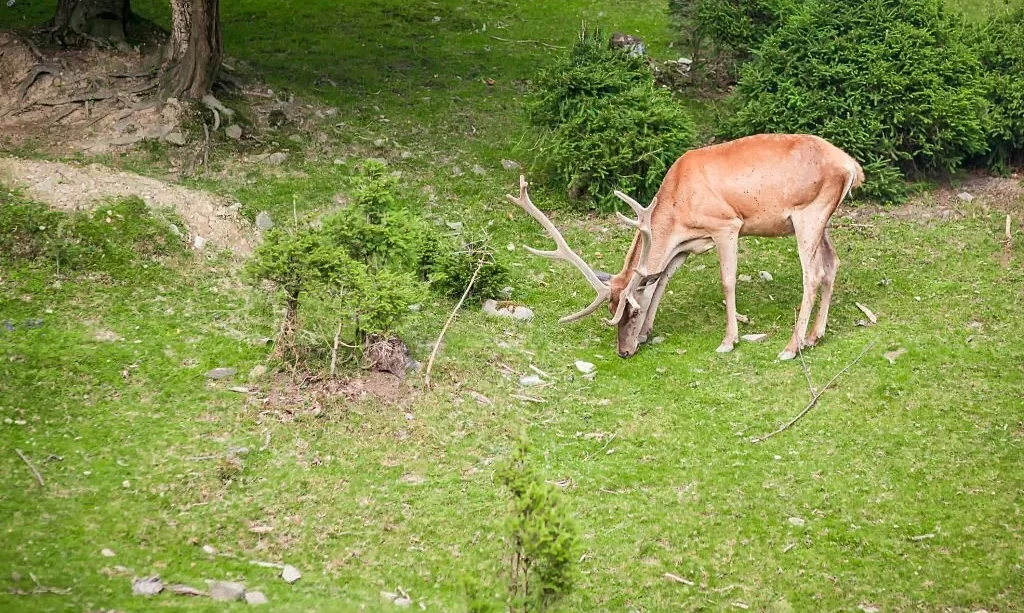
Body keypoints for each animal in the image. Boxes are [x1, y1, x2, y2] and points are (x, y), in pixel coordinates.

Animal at [507, 133, 860, 360]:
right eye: (611, 311)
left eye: (631, 312)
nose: (623, 352)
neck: (678, 209)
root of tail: (852, 167)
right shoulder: (686, 245)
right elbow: (661, 280)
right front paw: (648, 333)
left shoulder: (726, 225)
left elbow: (727, 282)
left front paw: (729, 340)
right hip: (822, 219)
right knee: (833, 264)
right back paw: (815, 336)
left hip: (808, 213)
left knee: (813, 273)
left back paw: (791, 346)